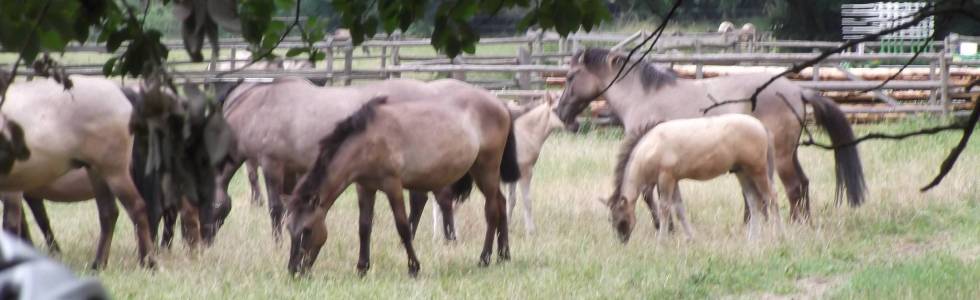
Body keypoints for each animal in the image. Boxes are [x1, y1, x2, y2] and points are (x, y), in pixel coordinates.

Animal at [0, 76, 169, 268]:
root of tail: (121, 92)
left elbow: (13, 225)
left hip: (115, 172)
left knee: (139, 209)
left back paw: (149, 263)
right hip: (97, 172)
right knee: (109, 213)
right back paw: (99, 264)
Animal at [560, 48, 864, 223]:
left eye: (571, 76)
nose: (562, 113)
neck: (642, 96)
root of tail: (798, 90)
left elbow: (648, 196)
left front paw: (662, 227)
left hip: (780, 156)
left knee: (793, 188)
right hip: (786, 154)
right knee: (801, 185)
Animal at [604, 113, 780, 243]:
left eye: (621, 218)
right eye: (610, 220)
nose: (622, 240)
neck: (653, 146)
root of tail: (761, 126)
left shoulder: (666, 178)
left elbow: (665, 208)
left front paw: (661, 241)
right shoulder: (674, 180)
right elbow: (679, 209)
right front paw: (690, 238)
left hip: (758, 170)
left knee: (771, 198)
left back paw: (780, 236)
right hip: (742, 172)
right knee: (754, 202)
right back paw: (752, 240)